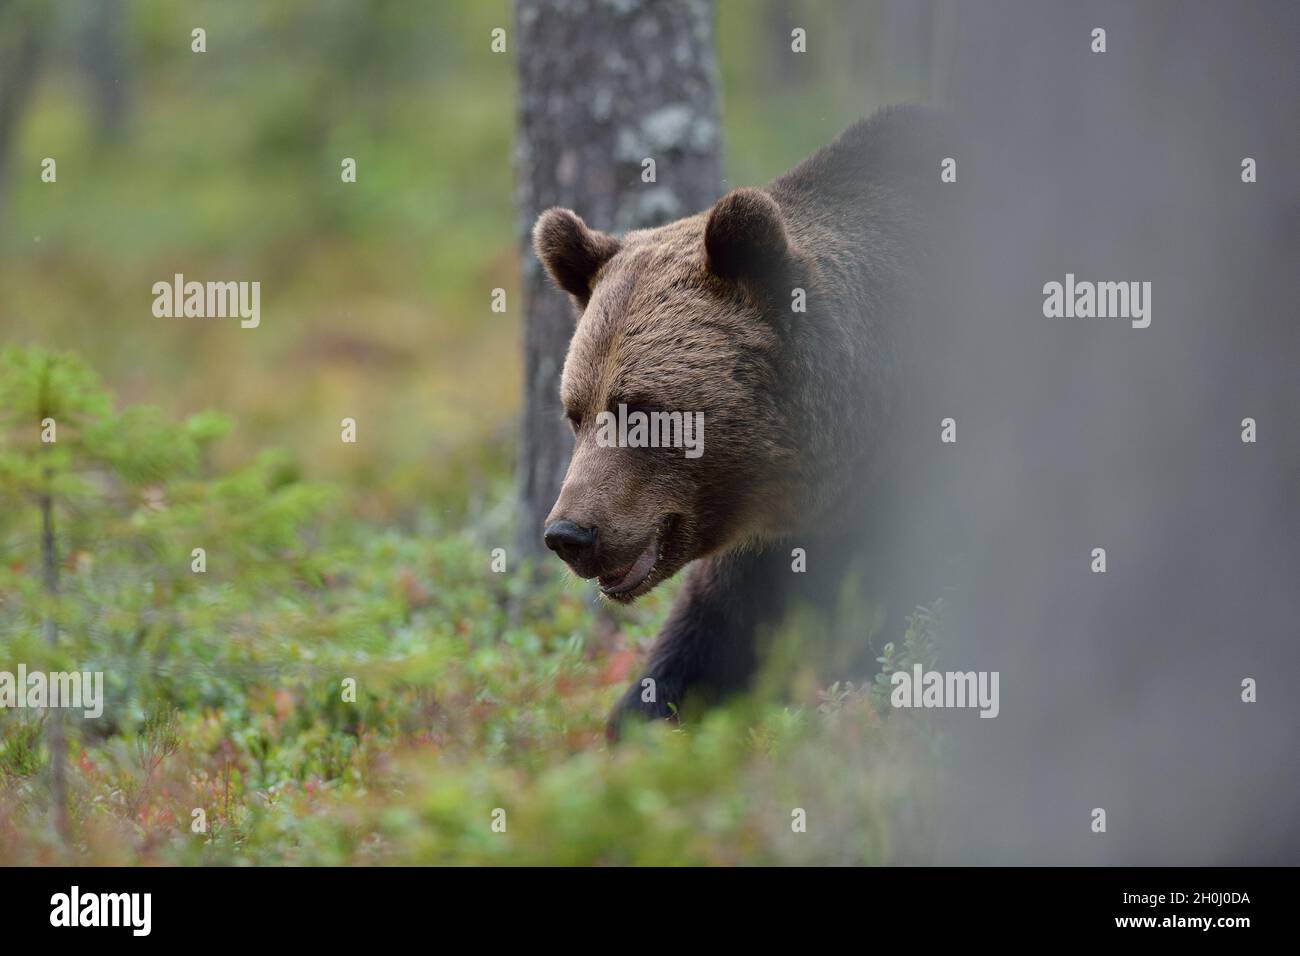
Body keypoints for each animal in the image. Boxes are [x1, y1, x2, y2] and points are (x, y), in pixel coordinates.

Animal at [532, 106, 946, 738]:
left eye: (643, 412)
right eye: (575, 412)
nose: (569, 534)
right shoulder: (763, 539)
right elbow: (715, 632)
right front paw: (641, 716)